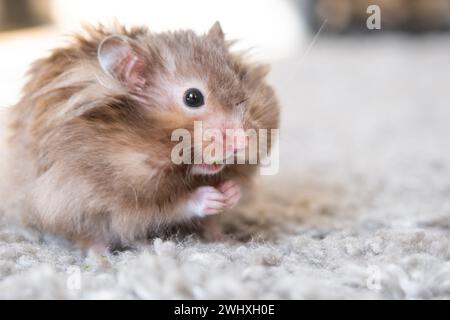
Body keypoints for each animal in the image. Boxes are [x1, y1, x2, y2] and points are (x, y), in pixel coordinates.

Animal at [0, 21, 280, 250]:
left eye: (242, 88)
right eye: (193, 97)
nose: (242, 142)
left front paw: (230, 191)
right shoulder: (107, 193)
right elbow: (165, 206)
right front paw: (210, 197)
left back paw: (223, 238)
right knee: (84, 233)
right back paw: (99, 254)